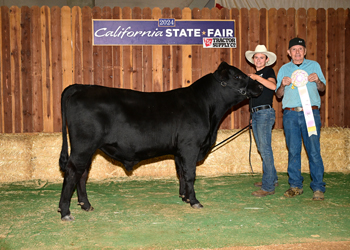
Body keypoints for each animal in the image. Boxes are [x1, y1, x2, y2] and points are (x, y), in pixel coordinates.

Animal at [57, 62, 262, 221]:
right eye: (237, 75)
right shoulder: (190, 146)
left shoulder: (180, 150)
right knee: (73, 172)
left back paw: (86, 205)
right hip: (84, 145)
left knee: (82, 174)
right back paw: (65, 212)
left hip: (88, 148)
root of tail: (82, 87)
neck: (207, 108)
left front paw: (185, 197)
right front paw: (195, 202)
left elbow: (181, 173)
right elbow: (190, 174)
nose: (260, 87)